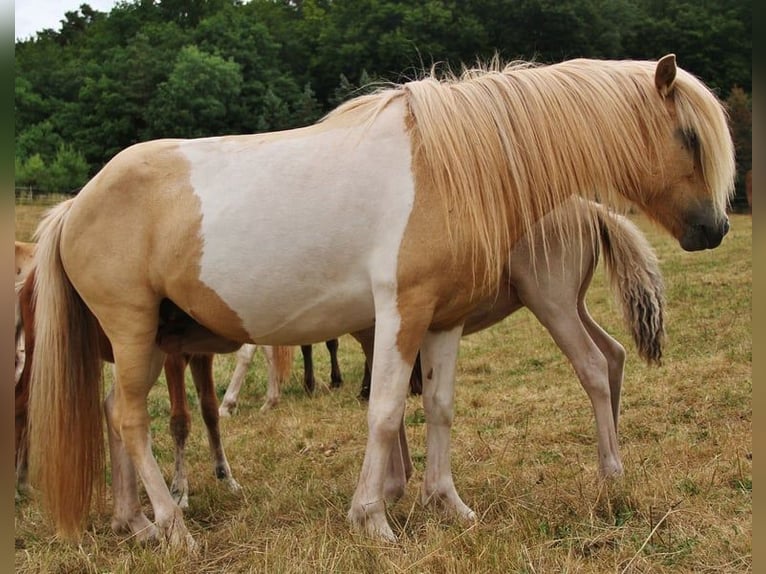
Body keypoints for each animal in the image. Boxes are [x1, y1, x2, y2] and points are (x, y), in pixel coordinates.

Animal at [356, 196, 665, 479]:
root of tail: (591, 207)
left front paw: (392, 481)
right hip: (574, 305)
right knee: (613, 353)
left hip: (553, 305)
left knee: (593, 365)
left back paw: (610, 467)